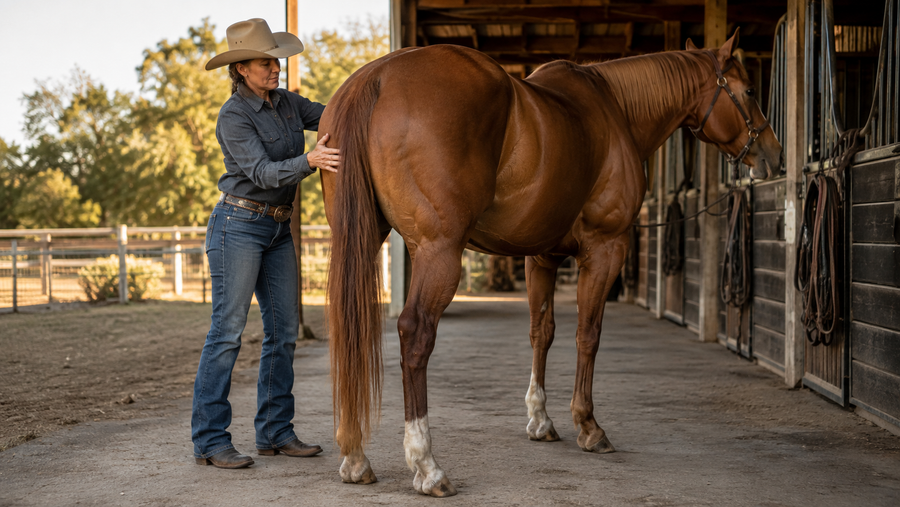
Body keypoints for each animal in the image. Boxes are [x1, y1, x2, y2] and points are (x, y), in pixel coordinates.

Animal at [318, 30, 782, 497]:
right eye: (750, 90)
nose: (773, 155)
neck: (616, 111)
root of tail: (376, 78)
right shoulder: (605, 248)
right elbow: (588, 335)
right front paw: (589, 427)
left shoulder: (541, 256)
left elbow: (542, 332)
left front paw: (540, 420)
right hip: (439, 252)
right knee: (415, 334)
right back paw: (426, 465)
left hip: (362, 238)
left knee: (349, 326)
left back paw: (355, 456)